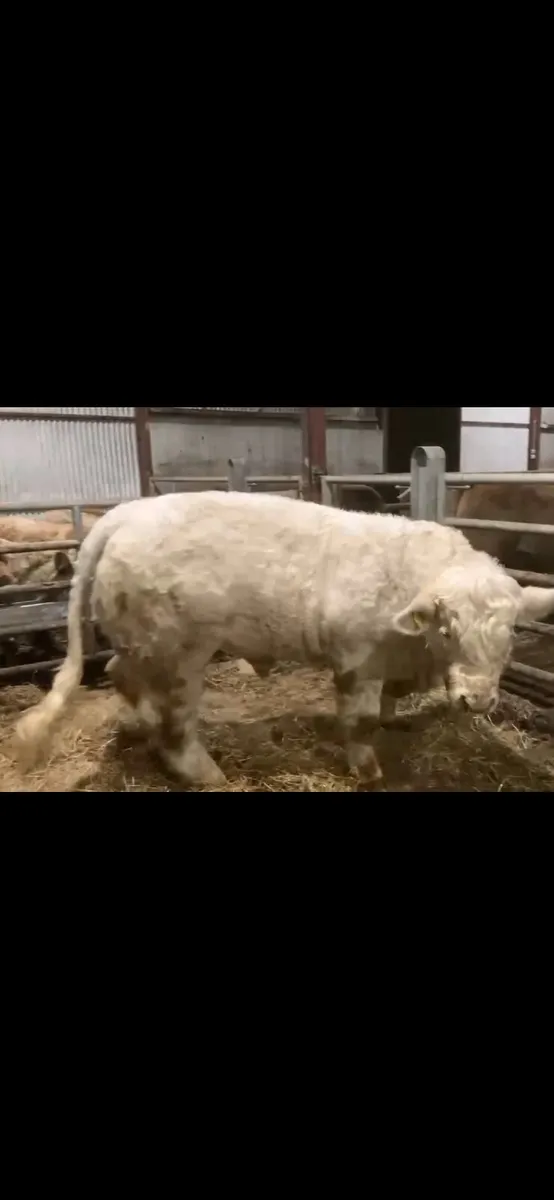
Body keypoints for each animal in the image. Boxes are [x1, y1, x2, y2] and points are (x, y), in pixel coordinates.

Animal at [13, 491, 554, 790]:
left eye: (510, 632)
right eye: (448, 628)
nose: (477, 700)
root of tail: (121, 515)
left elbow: (387, 706)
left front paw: (393, 719)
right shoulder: (357, 660)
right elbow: (359, 721)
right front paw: (367, 770)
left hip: (140, 642)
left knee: (118, 674)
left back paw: (136, 726)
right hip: (178, 651)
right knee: (173, 721)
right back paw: (205, 773)